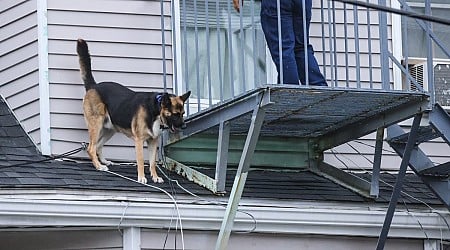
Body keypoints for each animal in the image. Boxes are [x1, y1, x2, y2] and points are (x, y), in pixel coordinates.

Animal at [77, 39, 190, 184]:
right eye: (175, 114)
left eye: (183, 114)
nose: (184, 126)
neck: (155, 109)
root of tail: (93, 86)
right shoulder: (139, 141)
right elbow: (141, 161)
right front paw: (141, 178)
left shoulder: (153, 141)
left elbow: (152, 162)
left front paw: (155, 177)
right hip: (96, 125)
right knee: (91, 148)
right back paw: (98, 166)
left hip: (110, 129)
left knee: (98, 146)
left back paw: (104, 162)